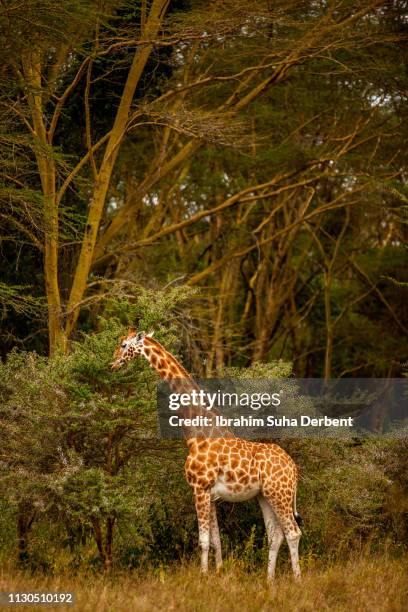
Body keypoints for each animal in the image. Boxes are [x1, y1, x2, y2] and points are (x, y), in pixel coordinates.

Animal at [110, 328, 302, 580]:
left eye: (123, 345)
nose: (112, 364)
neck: (197, 434)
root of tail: (294, 468)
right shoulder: (211, 495)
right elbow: (215, 541)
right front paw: (218, 573)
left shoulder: (199, 488)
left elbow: (202, 541)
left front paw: (202, 577)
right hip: (266, 495)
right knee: (276, 535)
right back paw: (269, 581)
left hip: (280, 494)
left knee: (293, 533)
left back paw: (297, 580)